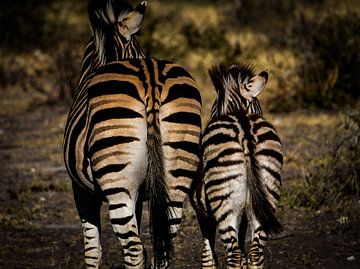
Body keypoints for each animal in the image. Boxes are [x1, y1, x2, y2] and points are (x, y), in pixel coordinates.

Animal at [62, 1, 202, 266]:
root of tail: (150, 79)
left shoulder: (81, 190)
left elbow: (92, 250)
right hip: (177, 172)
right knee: (164, 244)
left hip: (118, 181)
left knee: (133, 249)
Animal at [191, 63, 284, 266]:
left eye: (213, 108)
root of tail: (244, 130)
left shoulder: (203, 211)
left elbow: (207, 254)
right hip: (267, 194)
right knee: (255, 253)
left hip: (224, 204)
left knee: (234, 255)